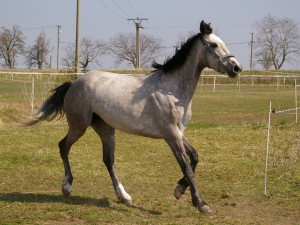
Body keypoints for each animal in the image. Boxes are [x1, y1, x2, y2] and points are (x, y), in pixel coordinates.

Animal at [25, 20, 243, 213]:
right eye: (214, 45)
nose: (236, 68)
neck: (171, 90)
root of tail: (74, 83)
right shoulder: (171, 135)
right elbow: (186, 166)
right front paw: (201, 203)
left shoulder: (179, 132)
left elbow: (195, 157)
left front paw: (179, 190)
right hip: (79, 125)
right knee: (64, 146)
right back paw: (67, 187)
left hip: (106, 128)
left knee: (108, 160)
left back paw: (124, 196)